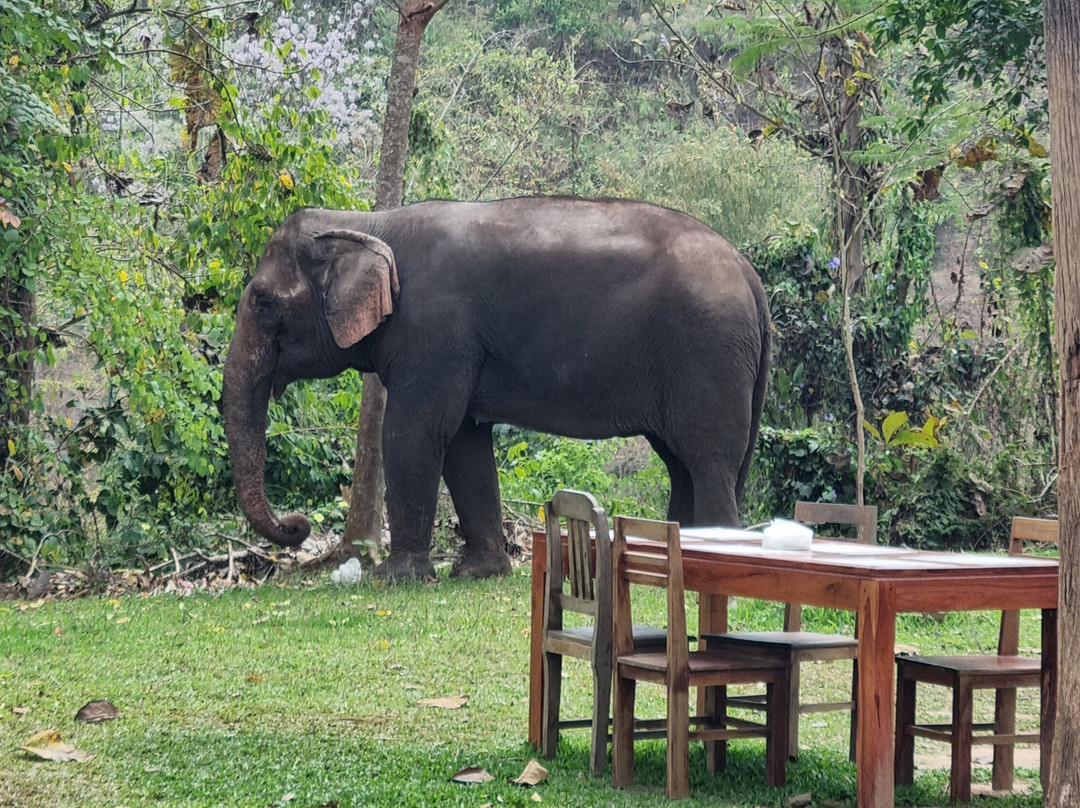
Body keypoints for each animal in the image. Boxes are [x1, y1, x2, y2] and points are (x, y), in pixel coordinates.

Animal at [222, 196, 771, 580]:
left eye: (265, 304)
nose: (297, 527)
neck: (368, 223)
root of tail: (749, 272)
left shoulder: (434, 331)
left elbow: (414, 432)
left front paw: (397, 577)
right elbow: (465, 444)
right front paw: (477, 572)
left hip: (708, 351)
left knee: (708, 458)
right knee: (682, 462)